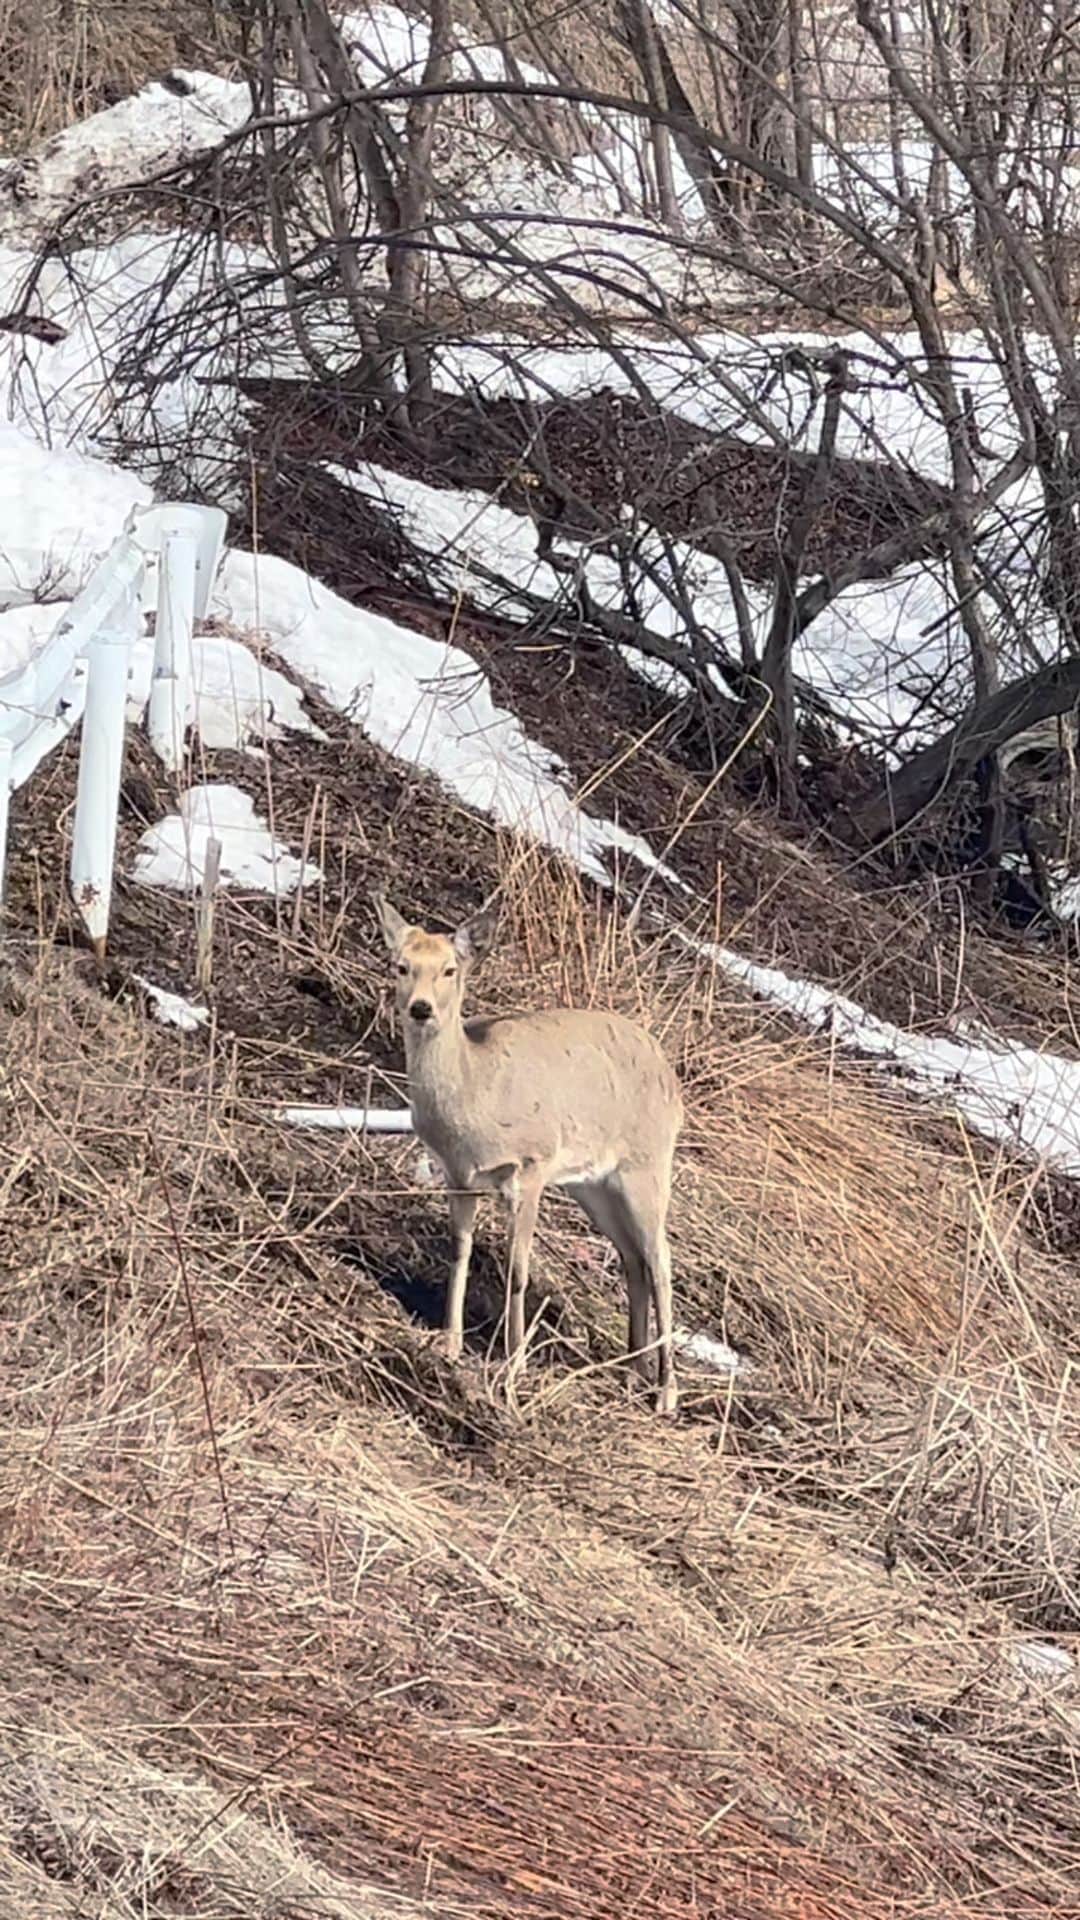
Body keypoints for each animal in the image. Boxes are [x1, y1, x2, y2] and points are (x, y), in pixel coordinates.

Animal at [375, 895, 683, 1412]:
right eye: (401, 965)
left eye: (450, 970)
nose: (420, 1008)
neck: (476, 1096)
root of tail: (674, 1083)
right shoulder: (457, 1174)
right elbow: (459, 1252)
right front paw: (449, 1343)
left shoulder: (532, 1166)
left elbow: (518, 1269)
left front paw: (513, 1363)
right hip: (594, 1186)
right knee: (633, 1259)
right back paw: (630, 1371)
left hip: (648, 1165)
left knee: (660, 1260)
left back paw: (666, 1391)